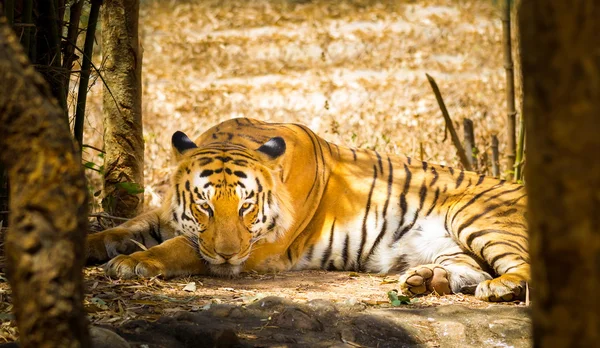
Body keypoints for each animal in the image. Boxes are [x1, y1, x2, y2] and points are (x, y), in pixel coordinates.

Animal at [86, 117, 528, 302]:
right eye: (205, 207)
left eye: (247, 208)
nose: (227, 254)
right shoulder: (165, 216)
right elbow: (126, 227)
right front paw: (92, 242)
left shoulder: (257, 250)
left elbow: (180, 247)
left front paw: (132, 263)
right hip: (446, 244)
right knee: (470, 270)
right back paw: (423, 280)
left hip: (476, 217)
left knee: (517, 268)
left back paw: (500, 287)